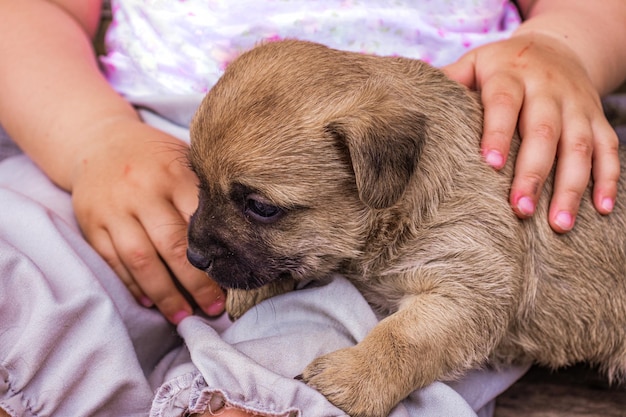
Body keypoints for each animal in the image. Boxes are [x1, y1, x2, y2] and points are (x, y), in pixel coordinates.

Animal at [185, 39, 624, 416]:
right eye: (198, 182)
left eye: (261, 208)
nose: (194, 257)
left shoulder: (468, 283)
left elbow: (403, 337)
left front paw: (354, 379)